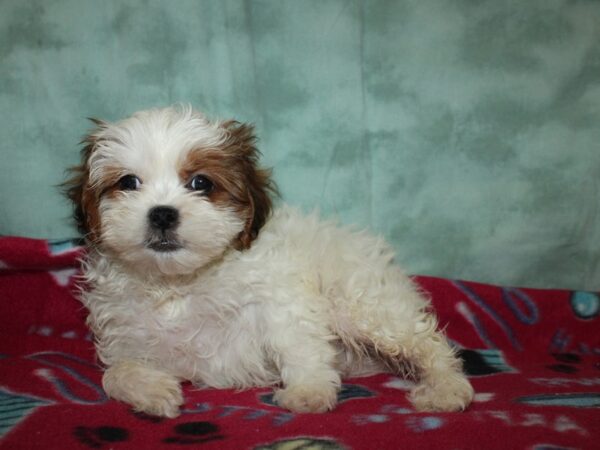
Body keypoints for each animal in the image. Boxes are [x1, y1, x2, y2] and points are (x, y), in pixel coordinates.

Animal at [65, 105, 474, 418]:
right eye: (128, 183)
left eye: (201, 183)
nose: (162, 213)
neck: (177, 283)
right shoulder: (126, 333)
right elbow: (115, 372)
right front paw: (152, 391)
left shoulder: (279, 297)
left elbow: (297, 341)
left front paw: (309, 390)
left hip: (365, 305)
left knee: (429, 344)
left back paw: (447, 388)